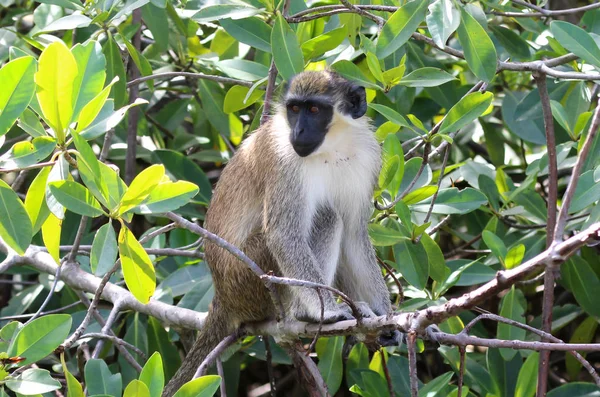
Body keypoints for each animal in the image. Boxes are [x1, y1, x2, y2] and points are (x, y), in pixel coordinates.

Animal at [164, 70, 398, 392]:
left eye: (314, 110)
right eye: (294, 109)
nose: (298, 132)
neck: (332, 147)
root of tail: (222, 295)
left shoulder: (367, 156)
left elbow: (354, 235)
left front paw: (385, 318)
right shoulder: (284, 162)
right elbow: (283, 235)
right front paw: (329, 311)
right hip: (250, 279)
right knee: (326, 217)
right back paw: (306, 313)